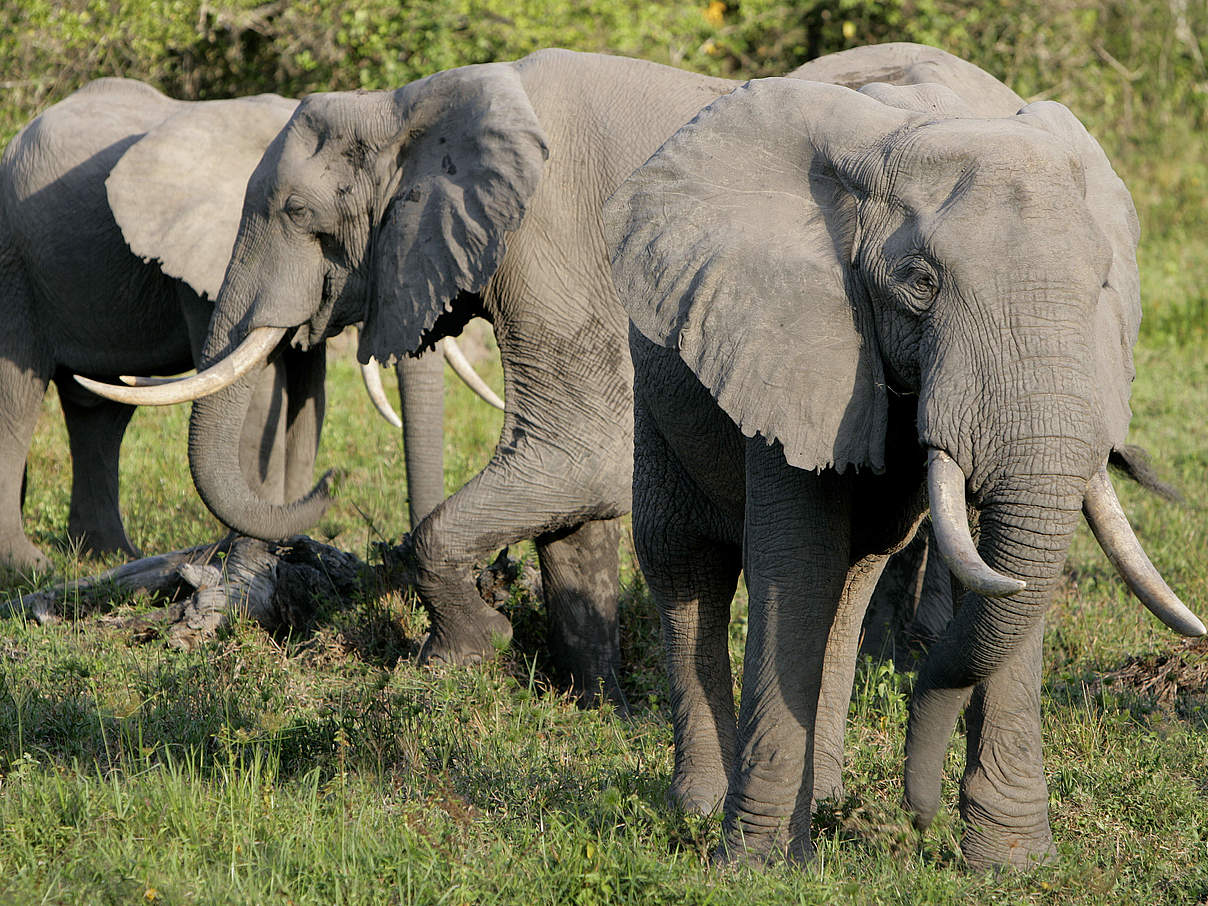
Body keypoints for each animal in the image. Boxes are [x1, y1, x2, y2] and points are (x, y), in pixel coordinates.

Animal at [608, 58, 1203, 874]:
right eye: (920, 283)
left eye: (1104, 286)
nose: (922, 814)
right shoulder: (791, 339)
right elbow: (795, 566)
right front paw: (758, 866)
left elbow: (996, 571)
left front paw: (1013, 865)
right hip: (658, 377)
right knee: (686, 563)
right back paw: (700, 809)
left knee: (856, 574)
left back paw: (827, 800)